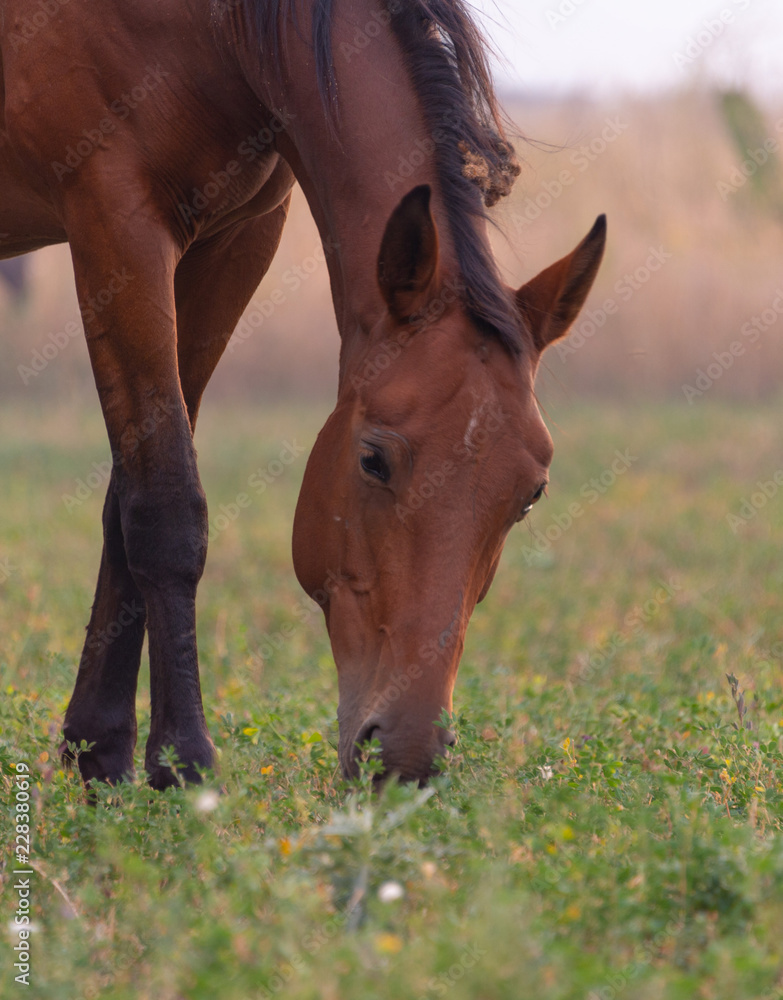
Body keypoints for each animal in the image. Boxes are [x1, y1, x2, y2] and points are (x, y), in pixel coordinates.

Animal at [0, 0, 605, 788]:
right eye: (373, 460)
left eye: (529, 495)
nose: (405, 756)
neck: (213, 30)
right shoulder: (114, 221)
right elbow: (165, 506)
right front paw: (183, 762)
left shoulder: (234, 237)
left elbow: (124, 499)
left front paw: (100, 750)